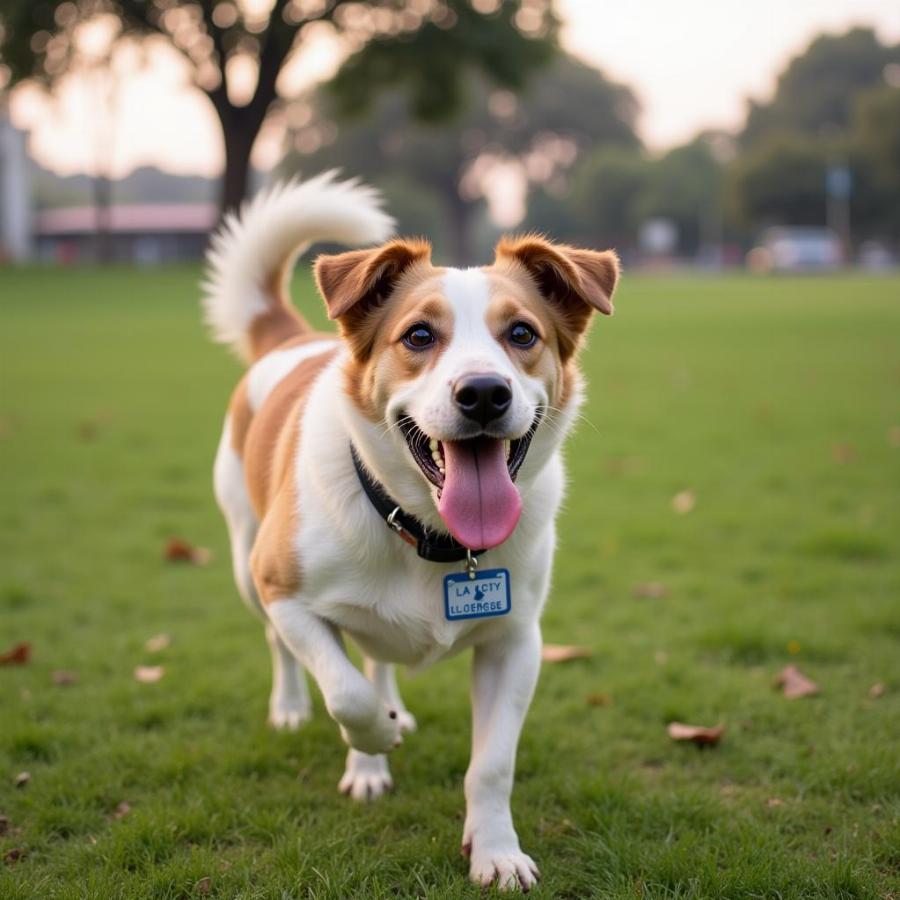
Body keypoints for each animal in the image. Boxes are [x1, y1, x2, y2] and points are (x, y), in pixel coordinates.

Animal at [202, 172, 620, 888]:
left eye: (522, 333)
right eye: (420, 337)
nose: (483, 393)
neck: (430, 534)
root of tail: (288, 339)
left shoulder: (516, 641)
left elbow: (492, 765)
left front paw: (496, 850)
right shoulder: (288, 595)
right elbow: (345, 695)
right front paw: (376, 739)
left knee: (375, 658)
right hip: (245, 563)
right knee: (291, 650)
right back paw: (305, 716)